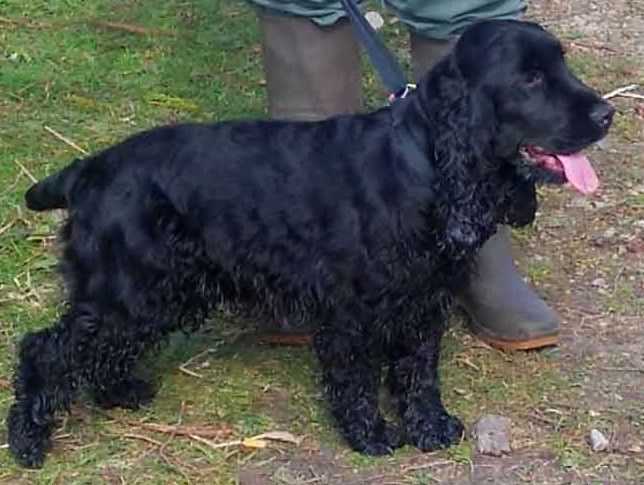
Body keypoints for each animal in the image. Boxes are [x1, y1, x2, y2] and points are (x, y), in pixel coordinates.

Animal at [10, 20, 612, 466]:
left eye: (562, 66)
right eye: (530, 79)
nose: (607, 113)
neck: (424, 161)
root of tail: (87, 170)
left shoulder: (422, 301)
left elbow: (420, 369)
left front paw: (431, 426)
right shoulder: (351, 309)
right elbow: (354, 376)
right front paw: (371, 435)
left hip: (156, 292)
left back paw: (119, 393)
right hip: (128, 287)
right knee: (45, 349)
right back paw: (27, 442)